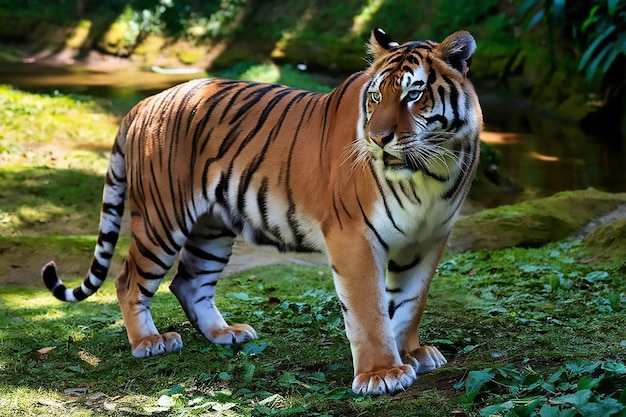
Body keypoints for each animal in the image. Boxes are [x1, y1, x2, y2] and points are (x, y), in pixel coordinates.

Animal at [41, 27, 480, 394]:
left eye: (413, 95)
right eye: (376, 97)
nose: (378, 138)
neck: (429, 171)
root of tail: (144, 103)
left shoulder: (428, 238)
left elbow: (409, 302)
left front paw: (411, 354)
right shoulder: (354, 235)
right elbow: (370, 309)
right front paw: (383, 374)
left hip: (212, 228)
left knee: (188, 282)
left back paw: (224, 334)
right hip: (161, 219)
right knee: (129, 279)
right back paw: (150, 342)